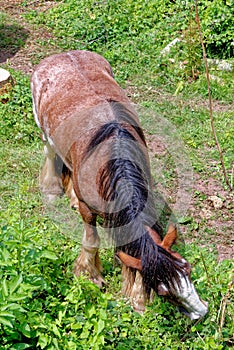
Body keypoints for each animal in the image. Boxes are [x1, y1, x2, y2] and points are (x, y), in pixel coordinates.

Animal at [31, 50, 208, 320]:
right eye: (164, 291)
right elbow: (91, 241)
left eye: (186, 267)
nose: (201, 312)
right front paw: (91, 276)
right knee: (50, 153)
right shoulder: (89, 210)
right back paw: (52, 190)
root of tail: (62, 55)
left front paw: (137, 296)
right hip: (42, 130)